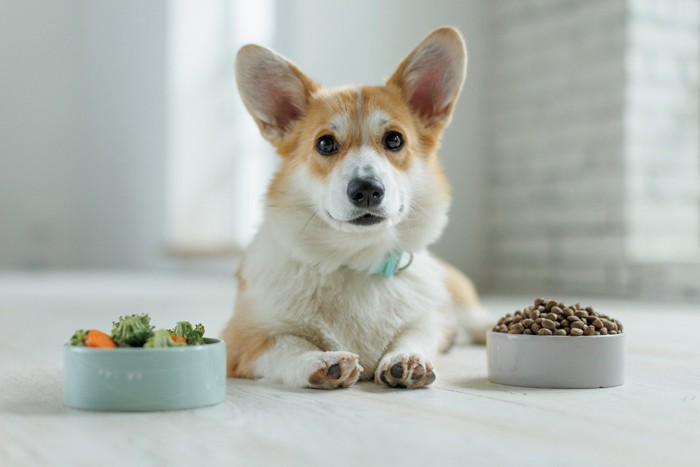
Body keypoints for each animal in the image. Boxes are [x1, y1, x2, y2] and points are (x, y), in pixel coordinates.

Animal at [223, 26, 486, 392]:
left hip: (463, 305)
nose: (367, 190)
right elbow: (288, 345)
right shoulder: (242, 339)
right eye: (325, 143)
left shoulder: (426, 319)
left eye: (394, 140)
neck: (357, 259)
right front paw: (319, 361)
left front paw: (407, 359)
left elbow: (415, 334)